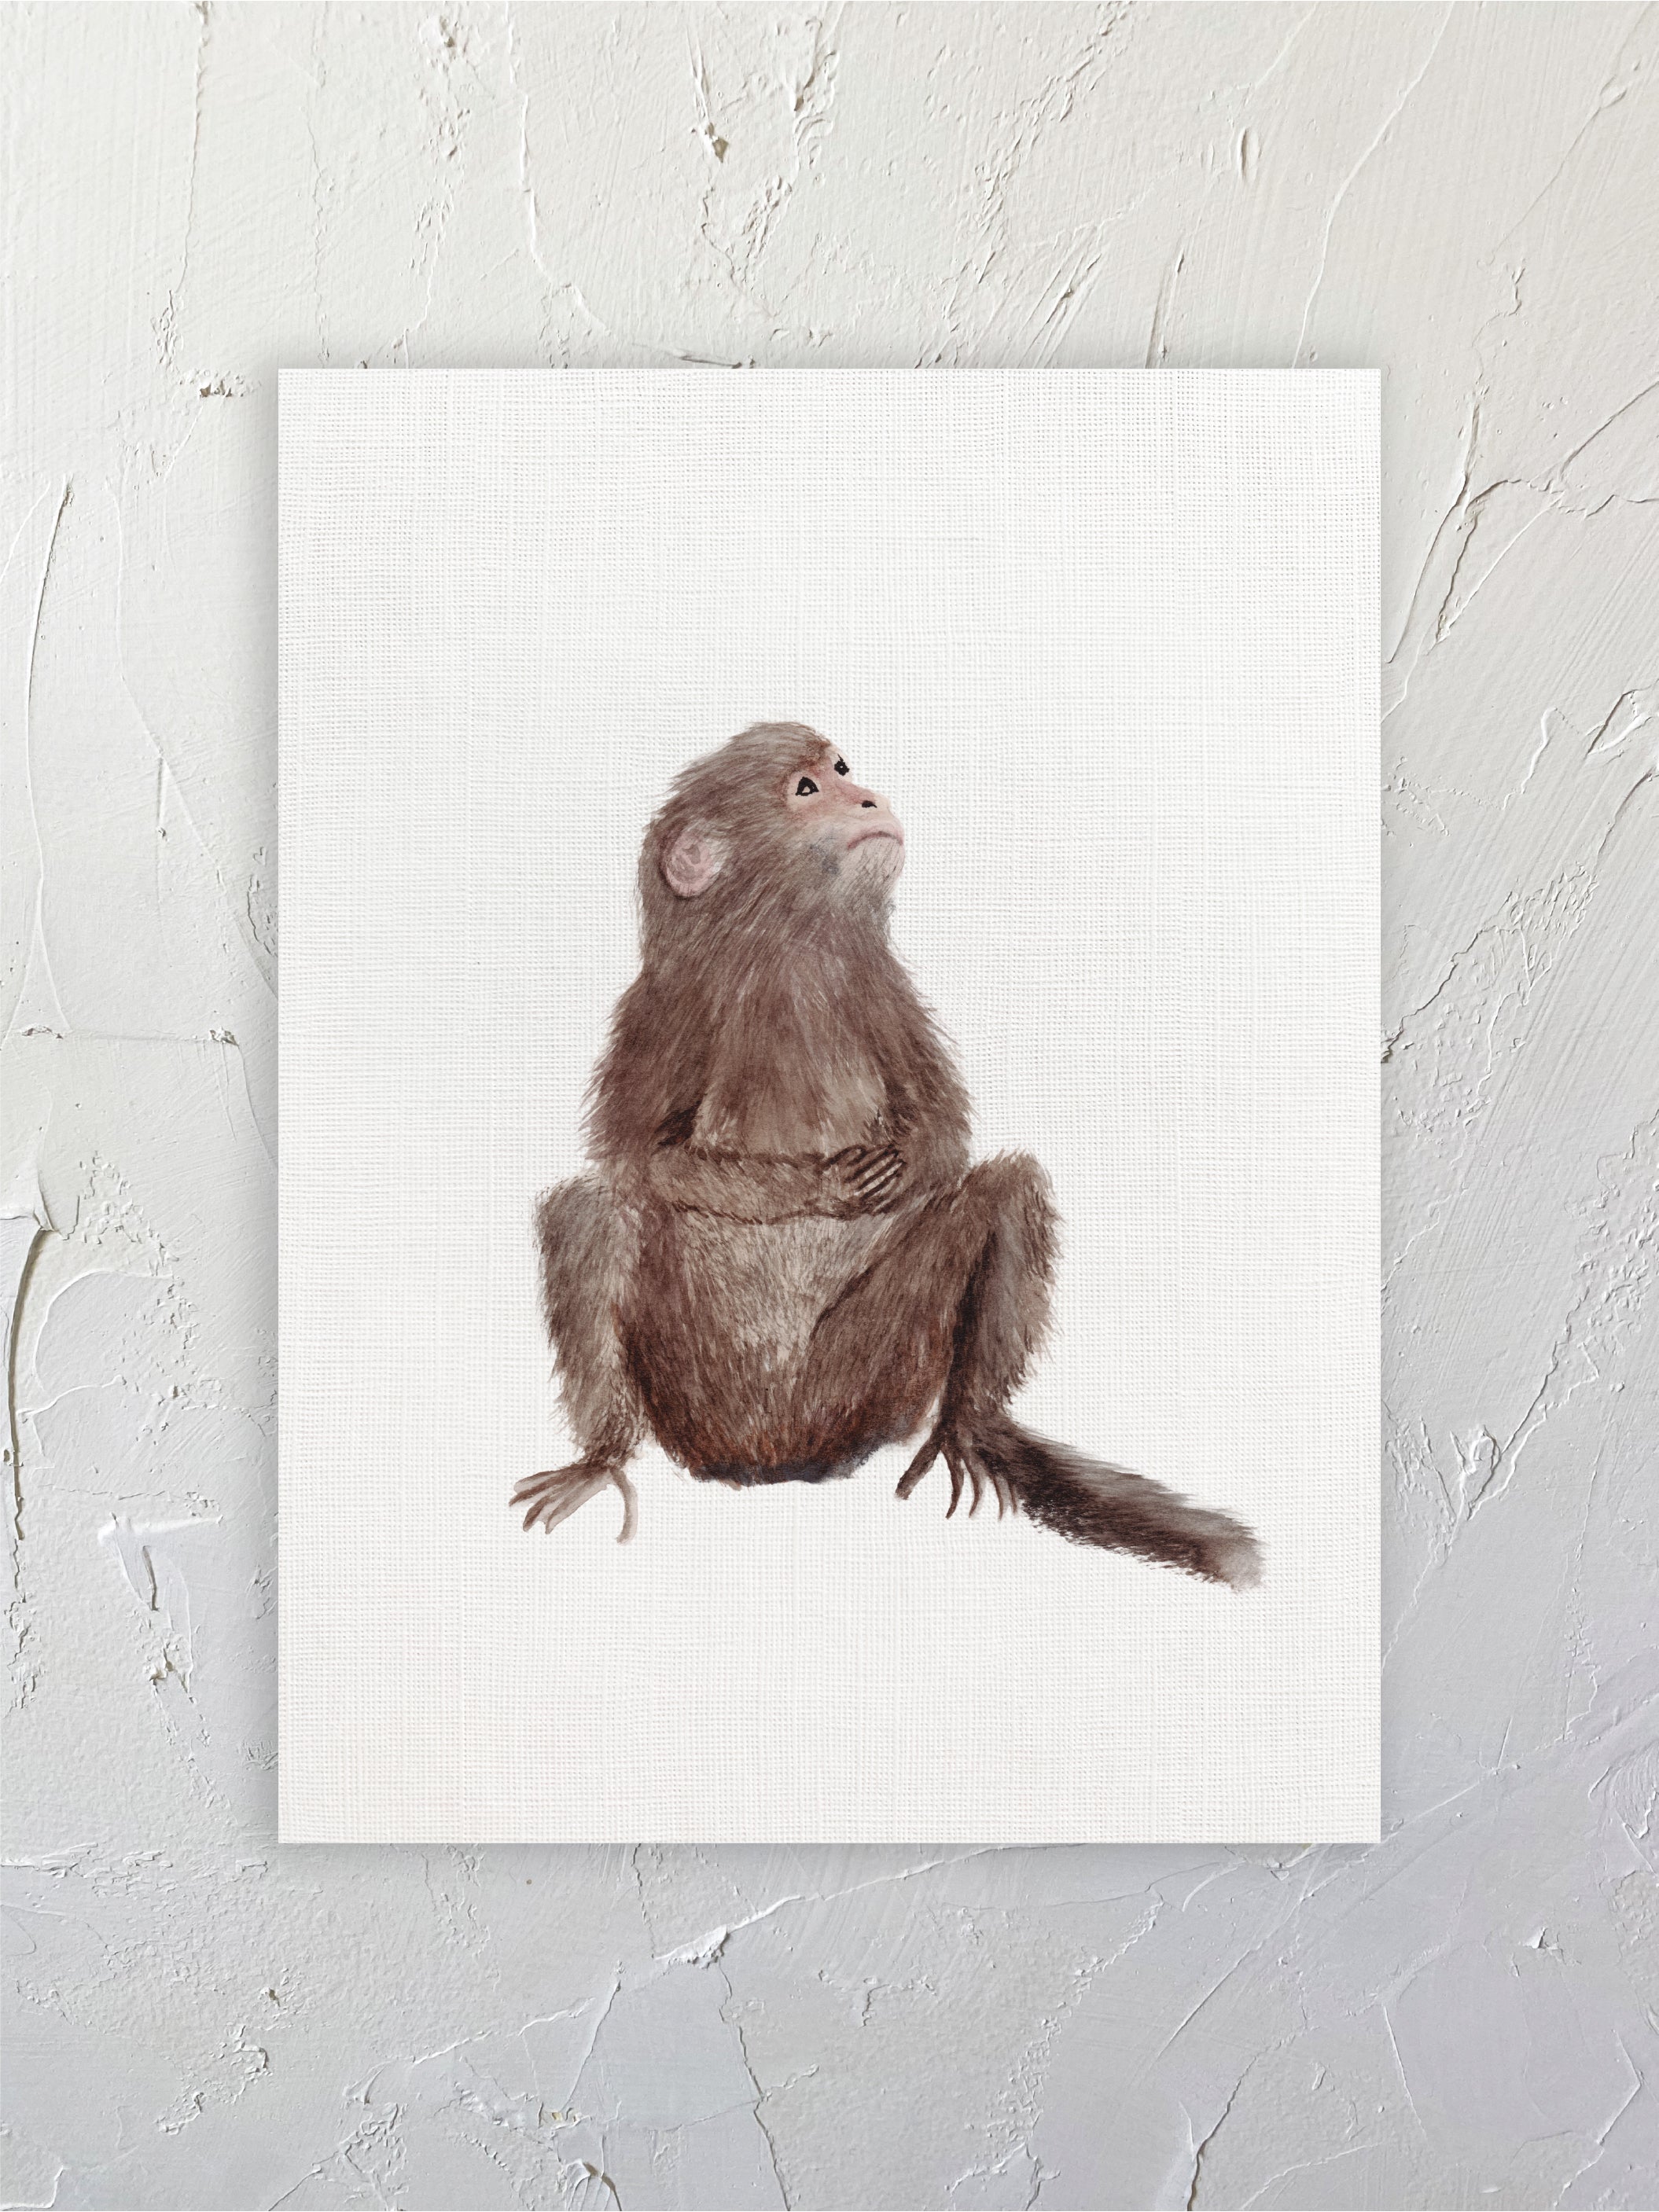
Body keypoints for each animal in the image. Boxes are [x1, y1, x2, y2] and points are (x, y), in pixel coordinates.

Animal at [514, 723, 1262, 1589]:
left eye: (842, 770)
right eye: (807, 790)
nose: (867, 797)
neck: (785, 948)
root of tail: (776, 1459)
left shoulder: (879, 985)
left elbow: (946, 1134)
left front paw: (894, 1169)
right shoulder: (668, 998)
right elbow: (630, 1156)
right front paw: (815, 1185)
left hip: (871, 1383)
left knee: (1008, 1191)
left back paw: (971, 1422)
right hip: (690, 1391)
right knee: (589, 1213)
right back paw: (602, 1455)